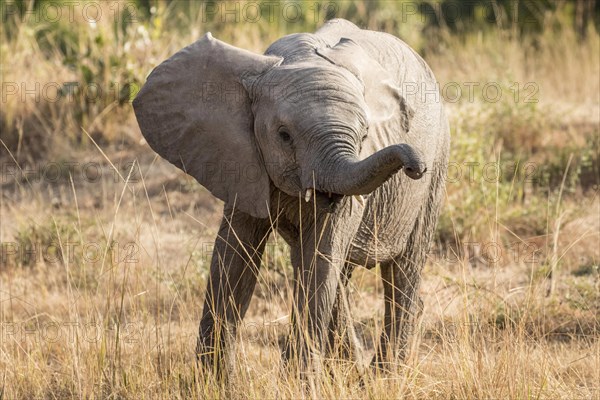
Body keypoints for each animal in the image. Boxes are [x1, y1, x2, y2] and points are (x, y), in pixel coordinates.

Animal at [134, 18, 448, 376]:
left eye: (365, 135)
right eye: (284, 136)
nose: (415, 166)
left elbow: (321, 257)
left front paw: (296, 381)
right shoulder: (242, 157)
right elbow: (234, 256)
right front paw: (213, 381)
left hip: (437, 167)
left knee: (401, 272)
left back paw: (380, 379)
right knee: (333, 273)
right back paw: (352, 373)